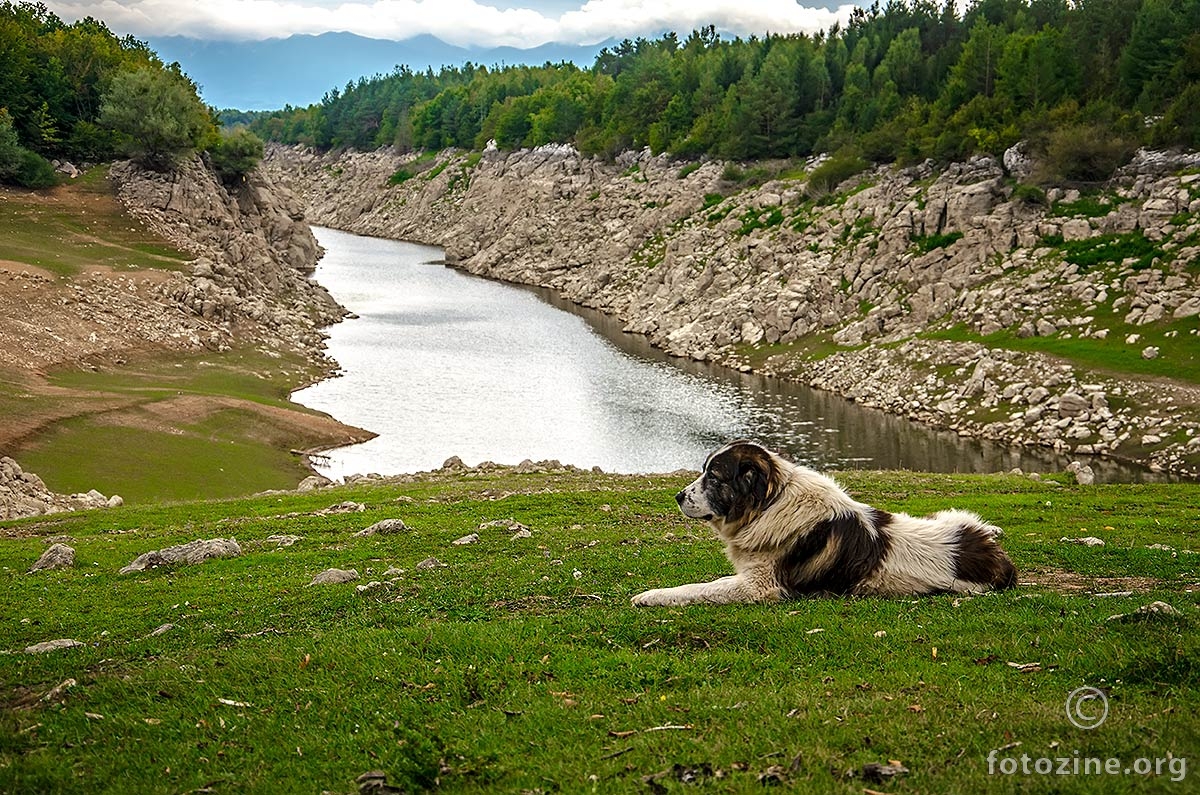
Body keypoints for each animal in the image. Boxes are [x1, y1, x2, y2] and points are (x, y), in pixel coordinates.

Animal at [633, 444, 1017, 607]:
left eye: (713, 477)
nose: (678, 496)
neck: (770, 504)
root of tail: (999, 560)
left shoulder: (761, 585)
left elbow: (699, 588)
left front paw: (650, 596)